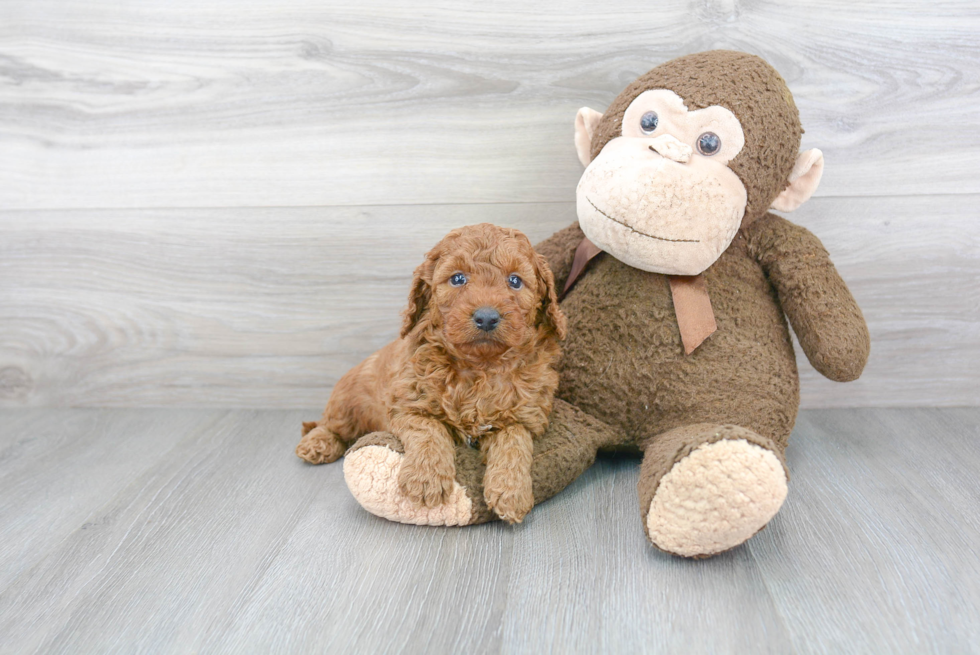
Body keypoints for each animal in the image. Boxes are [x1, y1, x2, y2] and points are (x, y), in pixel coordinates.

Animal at [294, 223, 564, 524]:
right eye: (458, 279)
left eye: (515, 281)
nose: (486, 317)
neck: (479, 366)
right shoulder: (408, 404)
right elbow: (429, 429)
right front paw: (426, 479)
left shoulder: (524, 415)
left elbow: (514, 441)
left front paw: (511, 491)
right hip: (347, 402)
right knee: (327, 424)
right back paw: (317, 444)